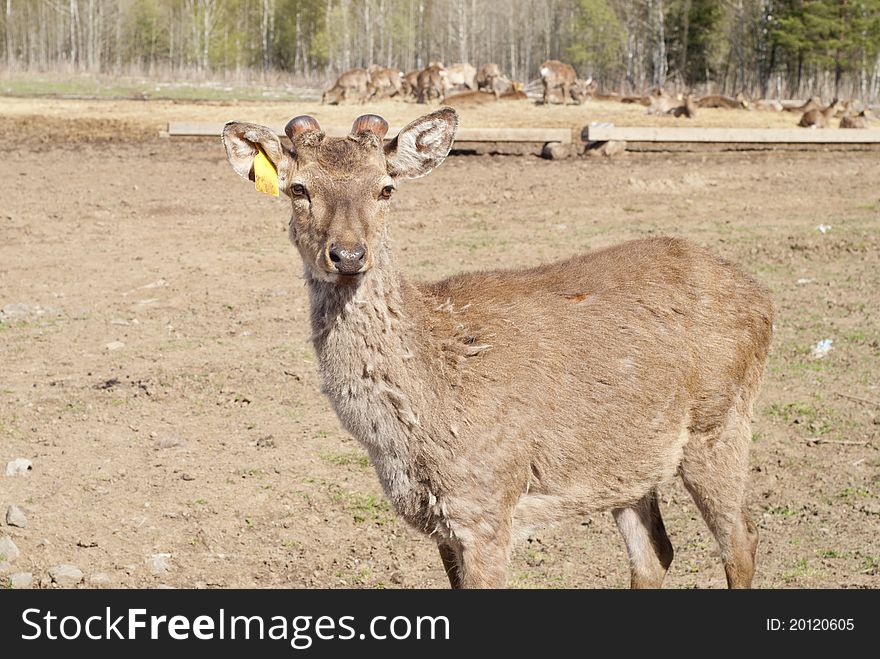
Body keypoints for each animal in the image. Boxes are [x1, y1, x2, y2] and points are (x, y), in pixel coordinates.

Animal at [223, 109, 772, 592]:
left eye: (385, 187)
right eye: (299, 188)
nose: (349, 255)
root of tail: (761, 295)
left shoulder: (488, 506)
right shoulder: (442, 523)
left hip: (720, 425)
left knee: (742, 539)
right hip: (630, 465)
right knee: (656, 553)